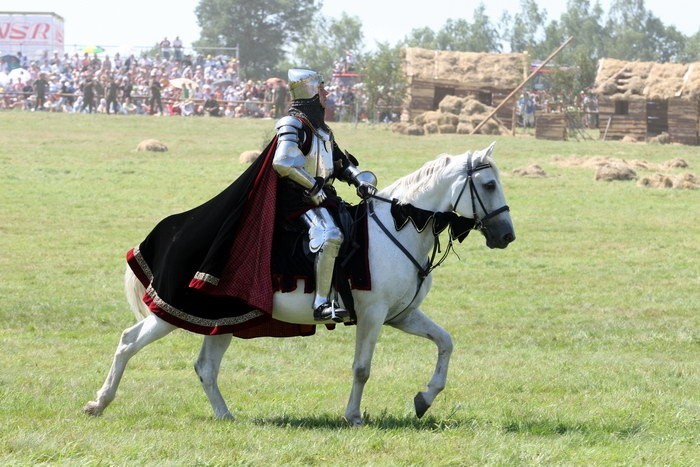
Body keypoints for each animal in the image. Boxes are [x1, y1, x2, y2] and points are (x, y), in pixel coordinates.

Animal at [86, 142, 516, 428]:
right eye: (489, 185)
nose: (506, 235)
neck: (397, 229)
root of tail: (174, 231)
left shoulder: (402, 315)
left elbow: (445, 342)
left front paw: (425, 398)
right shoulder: (373, 315)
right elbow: (362, 367)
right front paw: (353, 416)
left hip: (223, 320)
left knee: (205, 367)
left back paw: (226, 415)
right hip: (172, 313)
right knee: (129, 342)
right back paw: (99, 402)